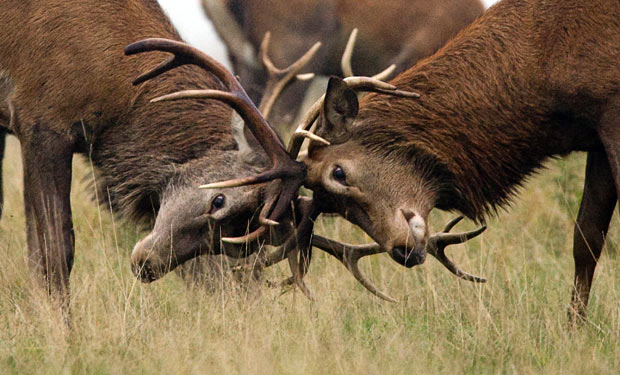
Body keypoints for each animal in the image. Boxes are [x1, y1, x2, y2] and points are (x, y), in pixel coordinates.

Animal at [195, 0, 620, 322]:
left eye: (338, 172)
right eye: (330, 208)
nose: (402, 250)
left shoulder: (609, 116)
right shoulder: (597, 136)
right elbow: (586, 240)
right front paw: (573, 329)